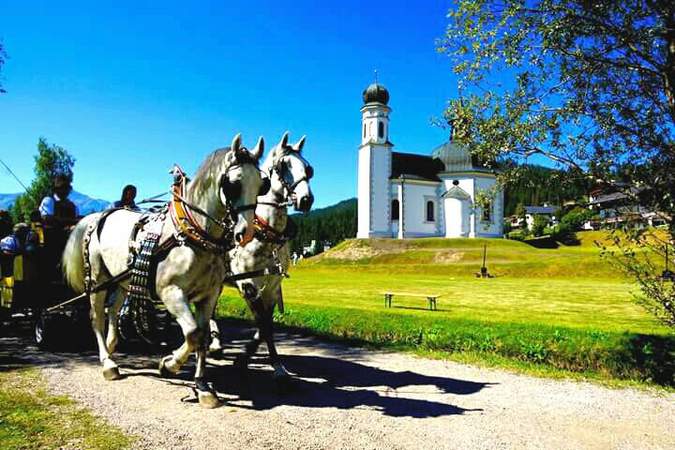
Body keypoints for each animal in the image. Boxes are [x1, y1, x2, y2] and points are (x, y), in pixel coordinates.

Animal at [61, 134, 266, 408]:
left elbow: (203, 336)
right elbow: (193, 334)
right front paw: (169, 364)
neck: (194, 234)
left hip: (123, 281)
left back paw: (113, 345)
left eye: (262, 184)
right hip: (97, 280)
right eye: (233, 183)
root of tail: (98, 216)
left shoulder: (208, 296)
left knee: (113, 311)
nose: (246, 233)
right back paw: (108, 363)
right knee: (97, 317)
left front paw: (202, 386)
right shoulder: (171, 293)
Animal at [211, 131, 314, 384]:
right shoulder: (248, 284)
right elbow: (263, 325)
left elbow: (266, 324)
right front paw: (270, 365)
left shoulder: (271, 286)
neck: (266, 232)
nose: (306, 200)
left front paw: (255, 359)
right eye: (282, 166)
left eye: (308, 169)